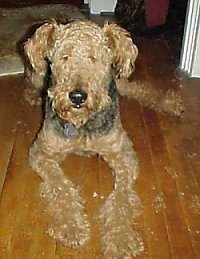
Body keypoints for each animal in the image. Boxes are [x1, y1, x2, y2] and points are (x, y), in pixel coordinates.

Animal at [23, 19, 183, 258]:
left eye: (95, 58)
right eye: (64, 57)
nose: (77, 97)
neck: (83, 124)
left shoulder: (123, 154)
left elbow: (121, 198)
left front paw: (120, 239)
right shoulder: (42, 152)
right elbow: (62, 186)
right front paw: (72, 228)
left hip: (121, 77)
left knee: (139, 88)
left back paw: (172, 104)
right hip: (38, 72)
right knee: (31, 77)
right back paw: (32, 96)